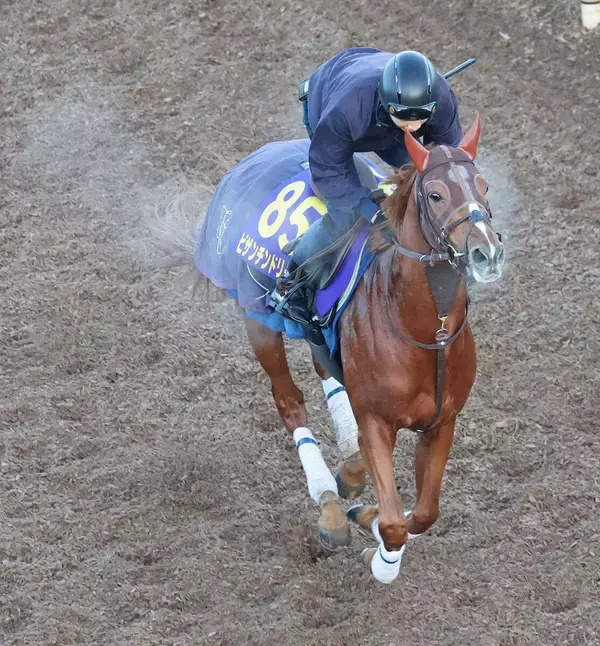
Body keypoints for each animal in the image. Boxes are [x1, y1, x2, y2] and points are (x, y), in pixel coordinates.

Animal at [173, 117, 504, 583]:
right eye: (436, 194)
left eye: (483, 185)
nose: (486, 251)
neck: (425, 332)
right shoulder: (378, 423)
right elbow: (395, 524)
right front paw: (378, 552)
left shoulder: (442, 422)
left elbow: (423, 514)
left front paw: (368, 514)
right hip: (258, 320)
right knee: (289, 401)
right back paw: (329, 505)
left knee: (326, 371)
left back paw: (347, 472)